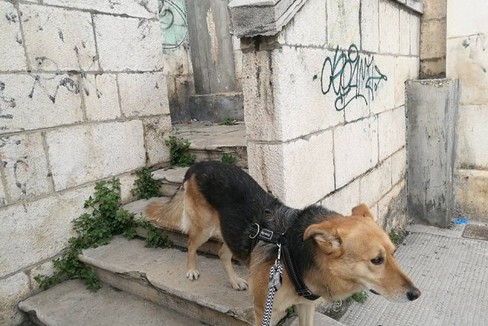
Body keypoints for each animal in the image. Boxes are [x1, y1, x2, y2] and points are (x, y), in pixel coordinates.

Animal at [145, 162, 420, 324]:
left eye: (393, 253)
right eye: (377, 260)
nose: (416, 294)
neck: (291, 257)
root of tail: (198, 164)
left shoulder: (306, 307)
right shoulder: (263, 311)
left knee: (223, 253)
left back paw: (235, 281)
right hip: (204, 227)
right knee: (192, 243)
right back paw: (192, 270)